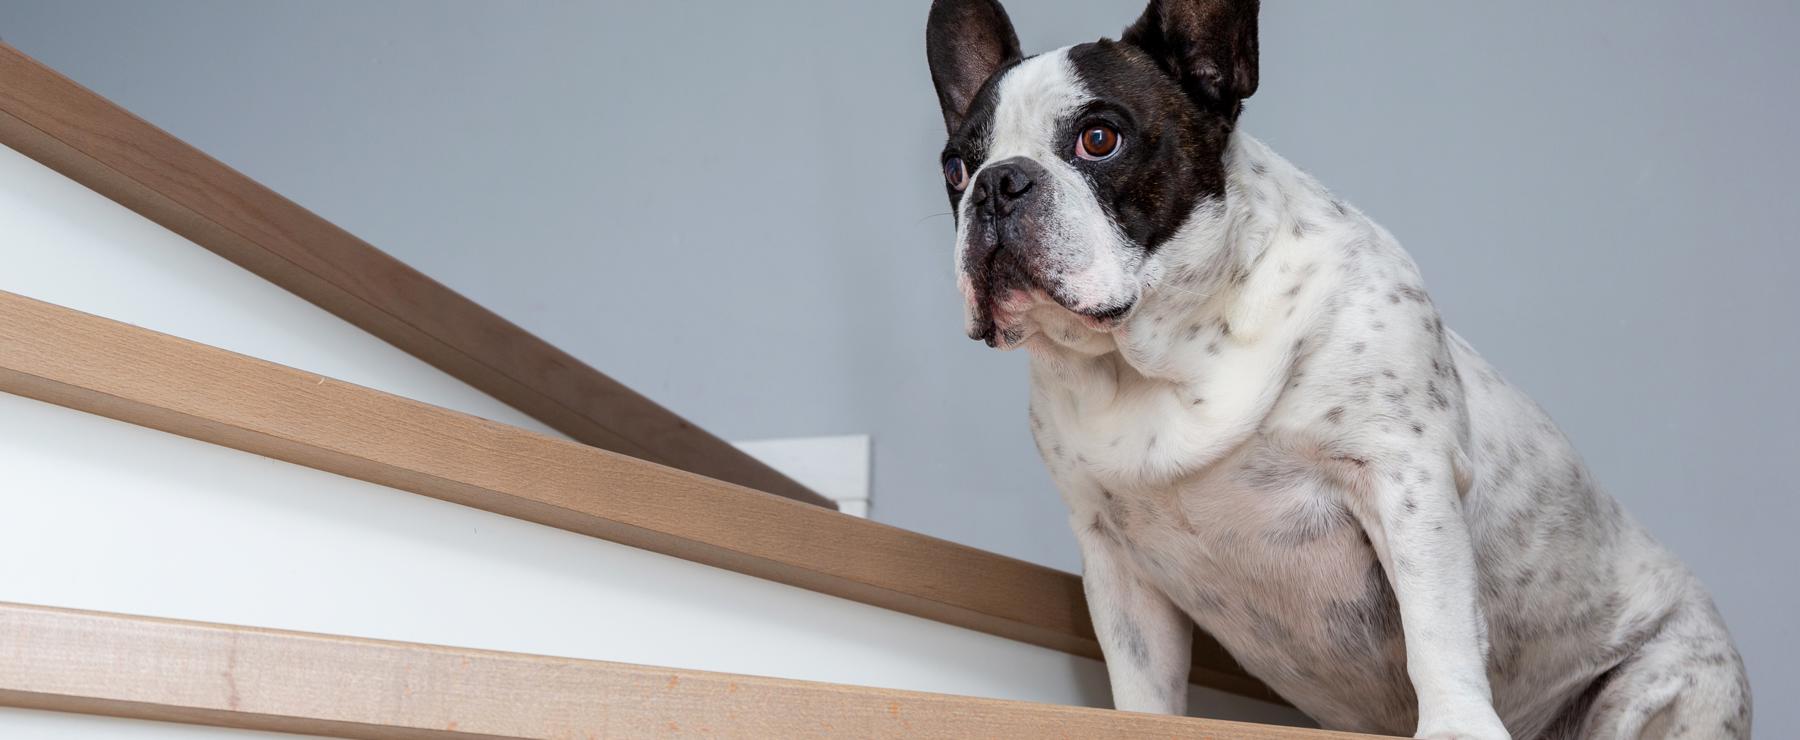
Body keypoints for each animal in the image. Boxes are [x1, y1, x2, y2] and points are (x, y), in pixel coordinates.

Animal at [928, 2, 1742, 738]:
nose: (999, 183)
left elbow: (1436, 624)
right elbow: (1141, 674)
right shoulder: (1112, 555)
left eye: (1099, 138)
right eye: (956, 168)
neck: (1158, 359)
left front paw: (1456, 725)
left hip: (1668, 689)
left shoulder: (1403, 478)